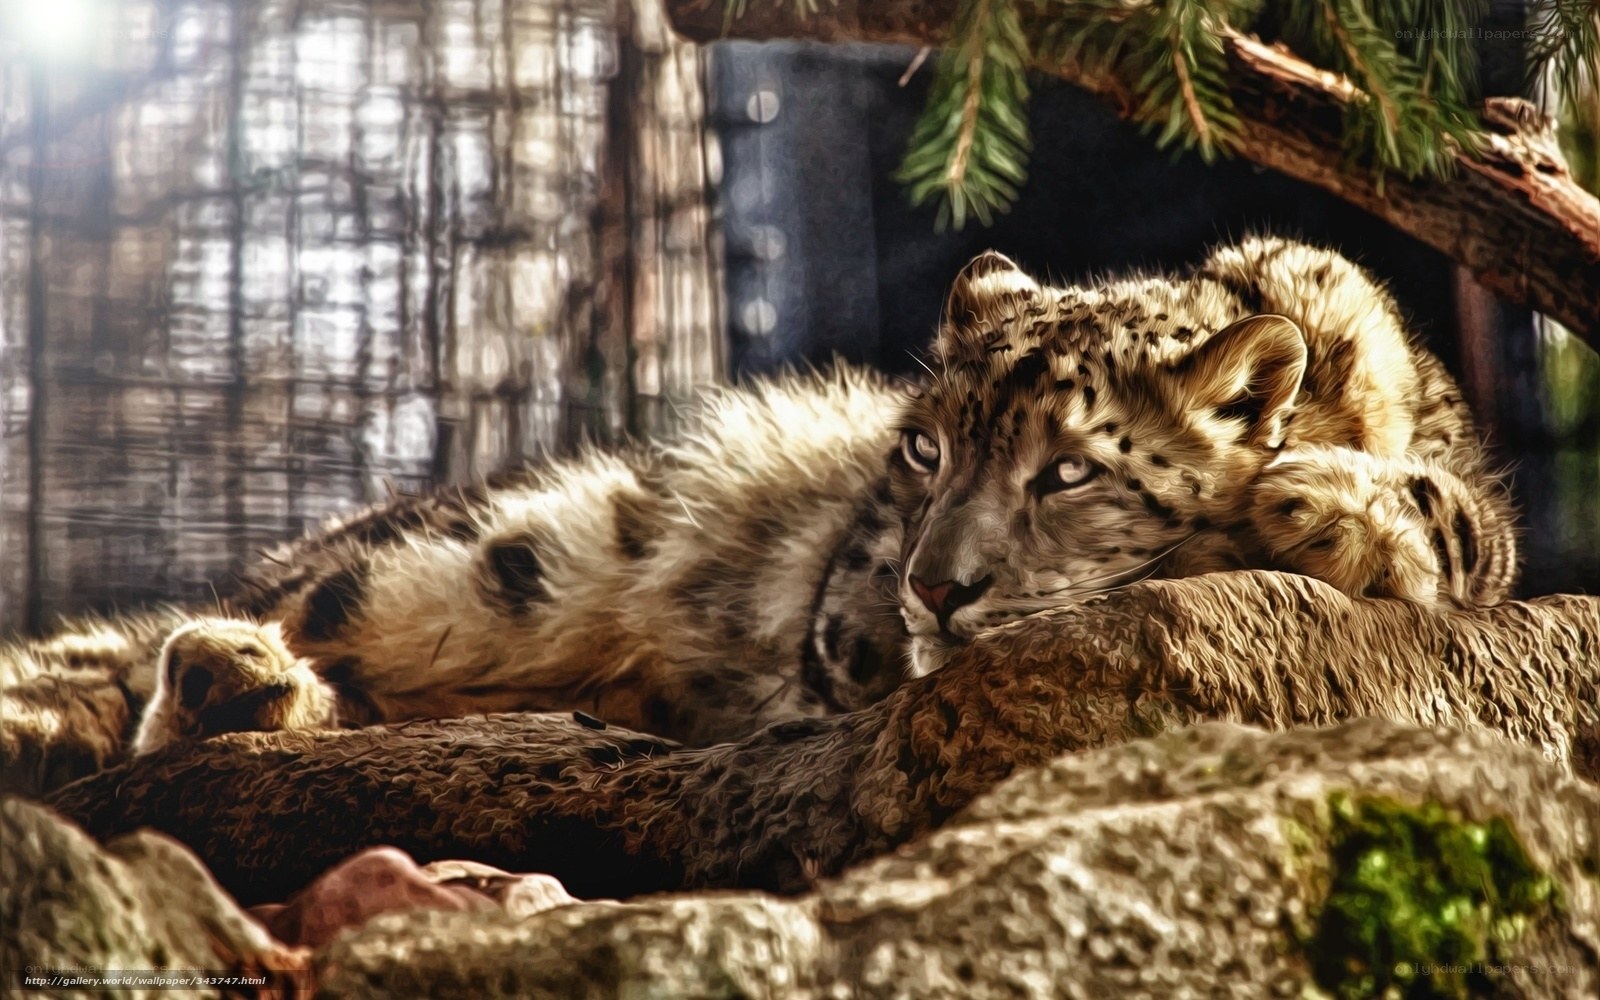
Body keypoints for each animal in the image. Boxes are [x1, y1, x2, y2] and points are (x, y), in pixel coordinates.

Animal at [0, 236, 1517, 793]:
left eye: (1070, 471)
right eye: (922, 447)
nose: (933, 588)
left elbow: (1466, 523)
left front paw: (1331, 503)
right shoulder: (841, 627)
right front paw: (1298, 503)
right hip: (492, 560)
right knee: (159, 655)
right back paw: (216, 675)